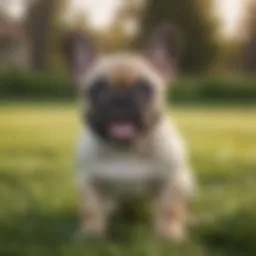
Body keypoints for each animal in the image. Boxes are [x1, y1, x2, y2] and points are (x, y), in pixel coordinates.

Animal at [63, 24, 194, 240]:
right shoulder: (88, 181)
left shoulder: (172, 180)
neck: (126, 150)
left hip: (186, 181)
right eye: (97, 88)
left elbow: (169, 208)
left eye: (145, 87)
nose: (120, 99)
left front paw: (167, 233)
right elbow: (91, 209)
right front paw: (91, 233)